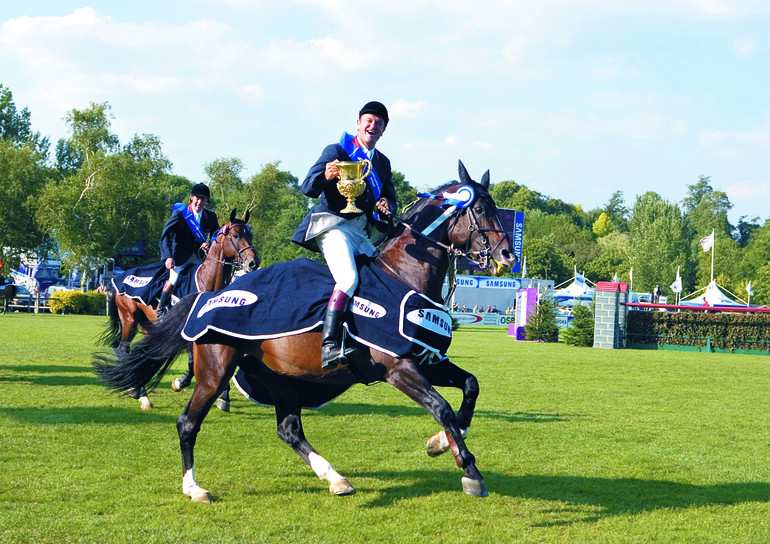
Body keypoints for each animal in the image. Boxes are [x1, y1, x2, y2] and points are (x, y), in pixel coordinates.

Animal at [100, 210, 258, 410]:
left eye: (250, 235)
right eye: (236, 235)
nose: (254, 262)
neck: (206, 283)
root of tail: (121, 277)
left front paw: (224, 397)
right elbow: (192, 363)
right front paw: (179, 383)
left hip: (148, 324)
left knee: (145, 352)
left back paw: (139, 391)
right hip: (129, 319)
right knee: (124, 348)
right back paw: (139, 393)